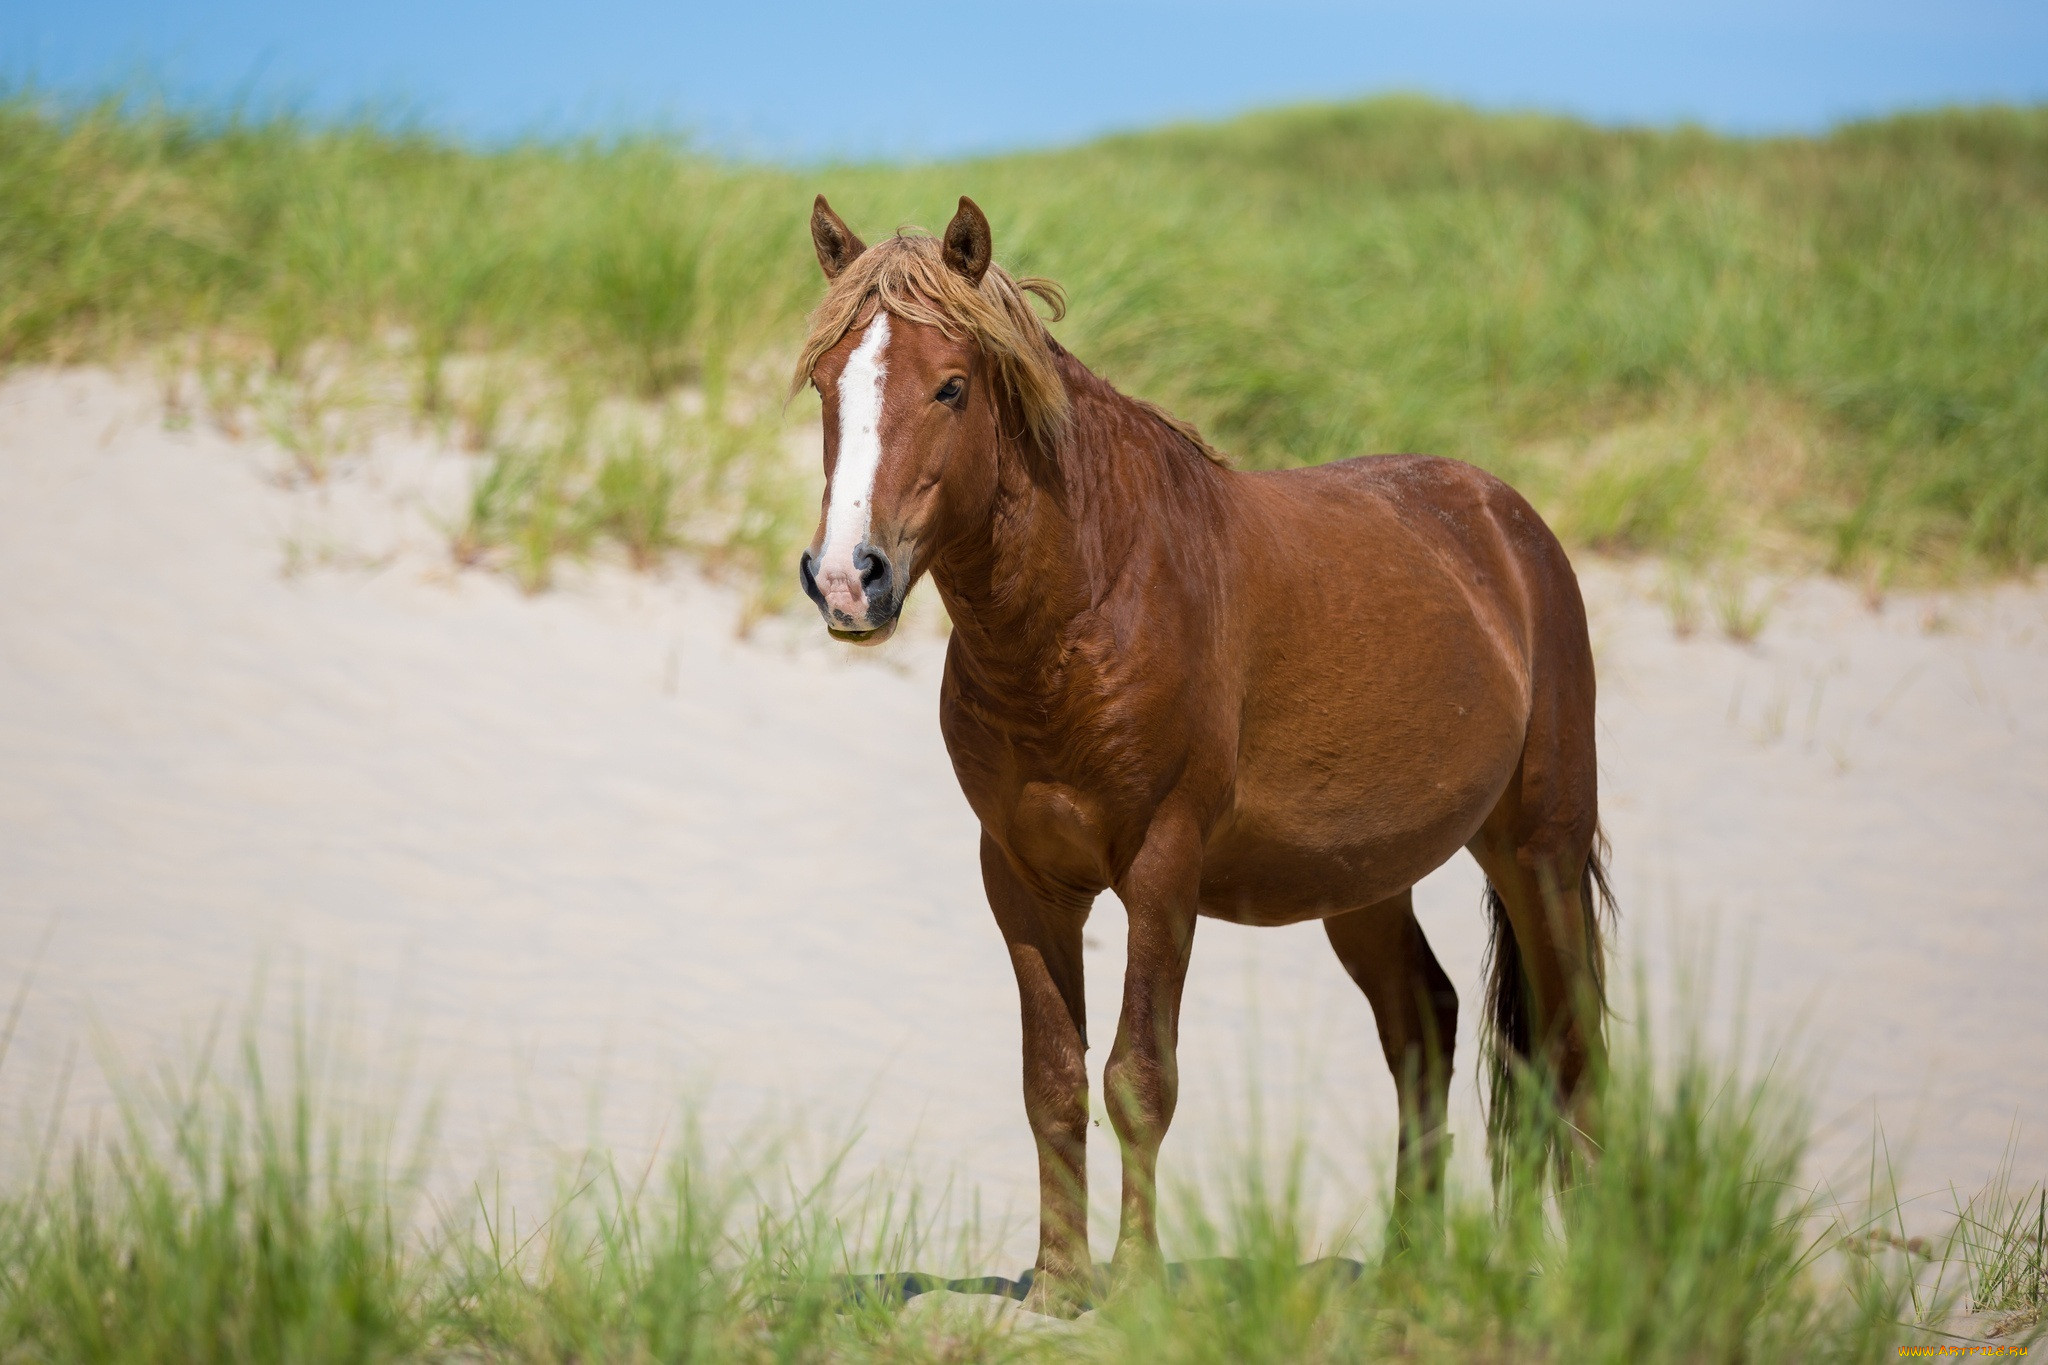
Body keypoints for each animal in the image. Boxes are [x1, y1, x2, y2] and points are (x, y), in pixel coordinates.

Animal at [790, 197, 1605, 1309]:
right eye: (827, 385)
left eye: (950, 385)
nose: (846, 579)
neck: (1091, 602)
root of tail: (1507, 522)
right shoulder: (1021, 879)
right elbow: (1052, 1079)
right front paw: (1058, 1285)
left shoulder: (1161, 868)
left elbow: (1139, 1077)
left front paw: (1133, 1287)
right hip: (1361, 884)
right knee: (1426, 1028)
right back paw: (1411, 1268)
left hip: (1539, 853)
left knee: (1568, 1044)